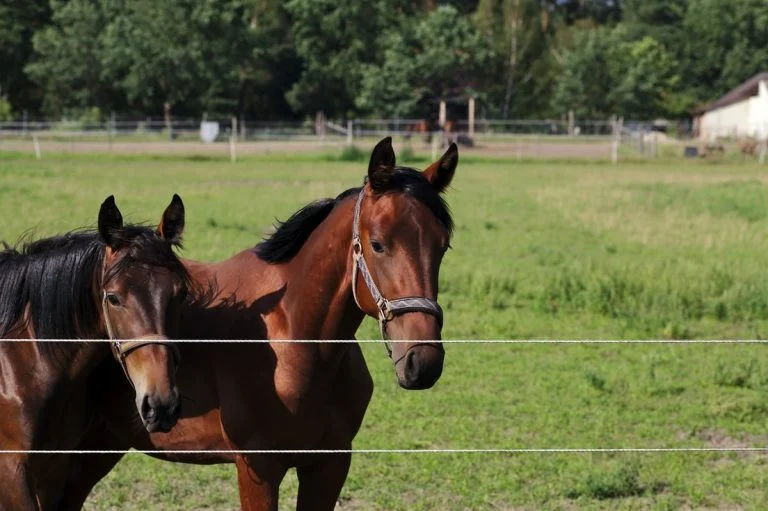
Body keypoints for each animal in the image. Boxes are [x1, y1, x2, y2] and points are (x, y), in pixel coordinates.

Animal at [62, 137, 459, 511]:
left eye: (443, 246)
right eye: (377, 244)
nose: (422, 361)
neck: (293, 342)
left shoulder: (329, 465)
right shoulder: (259, 469)